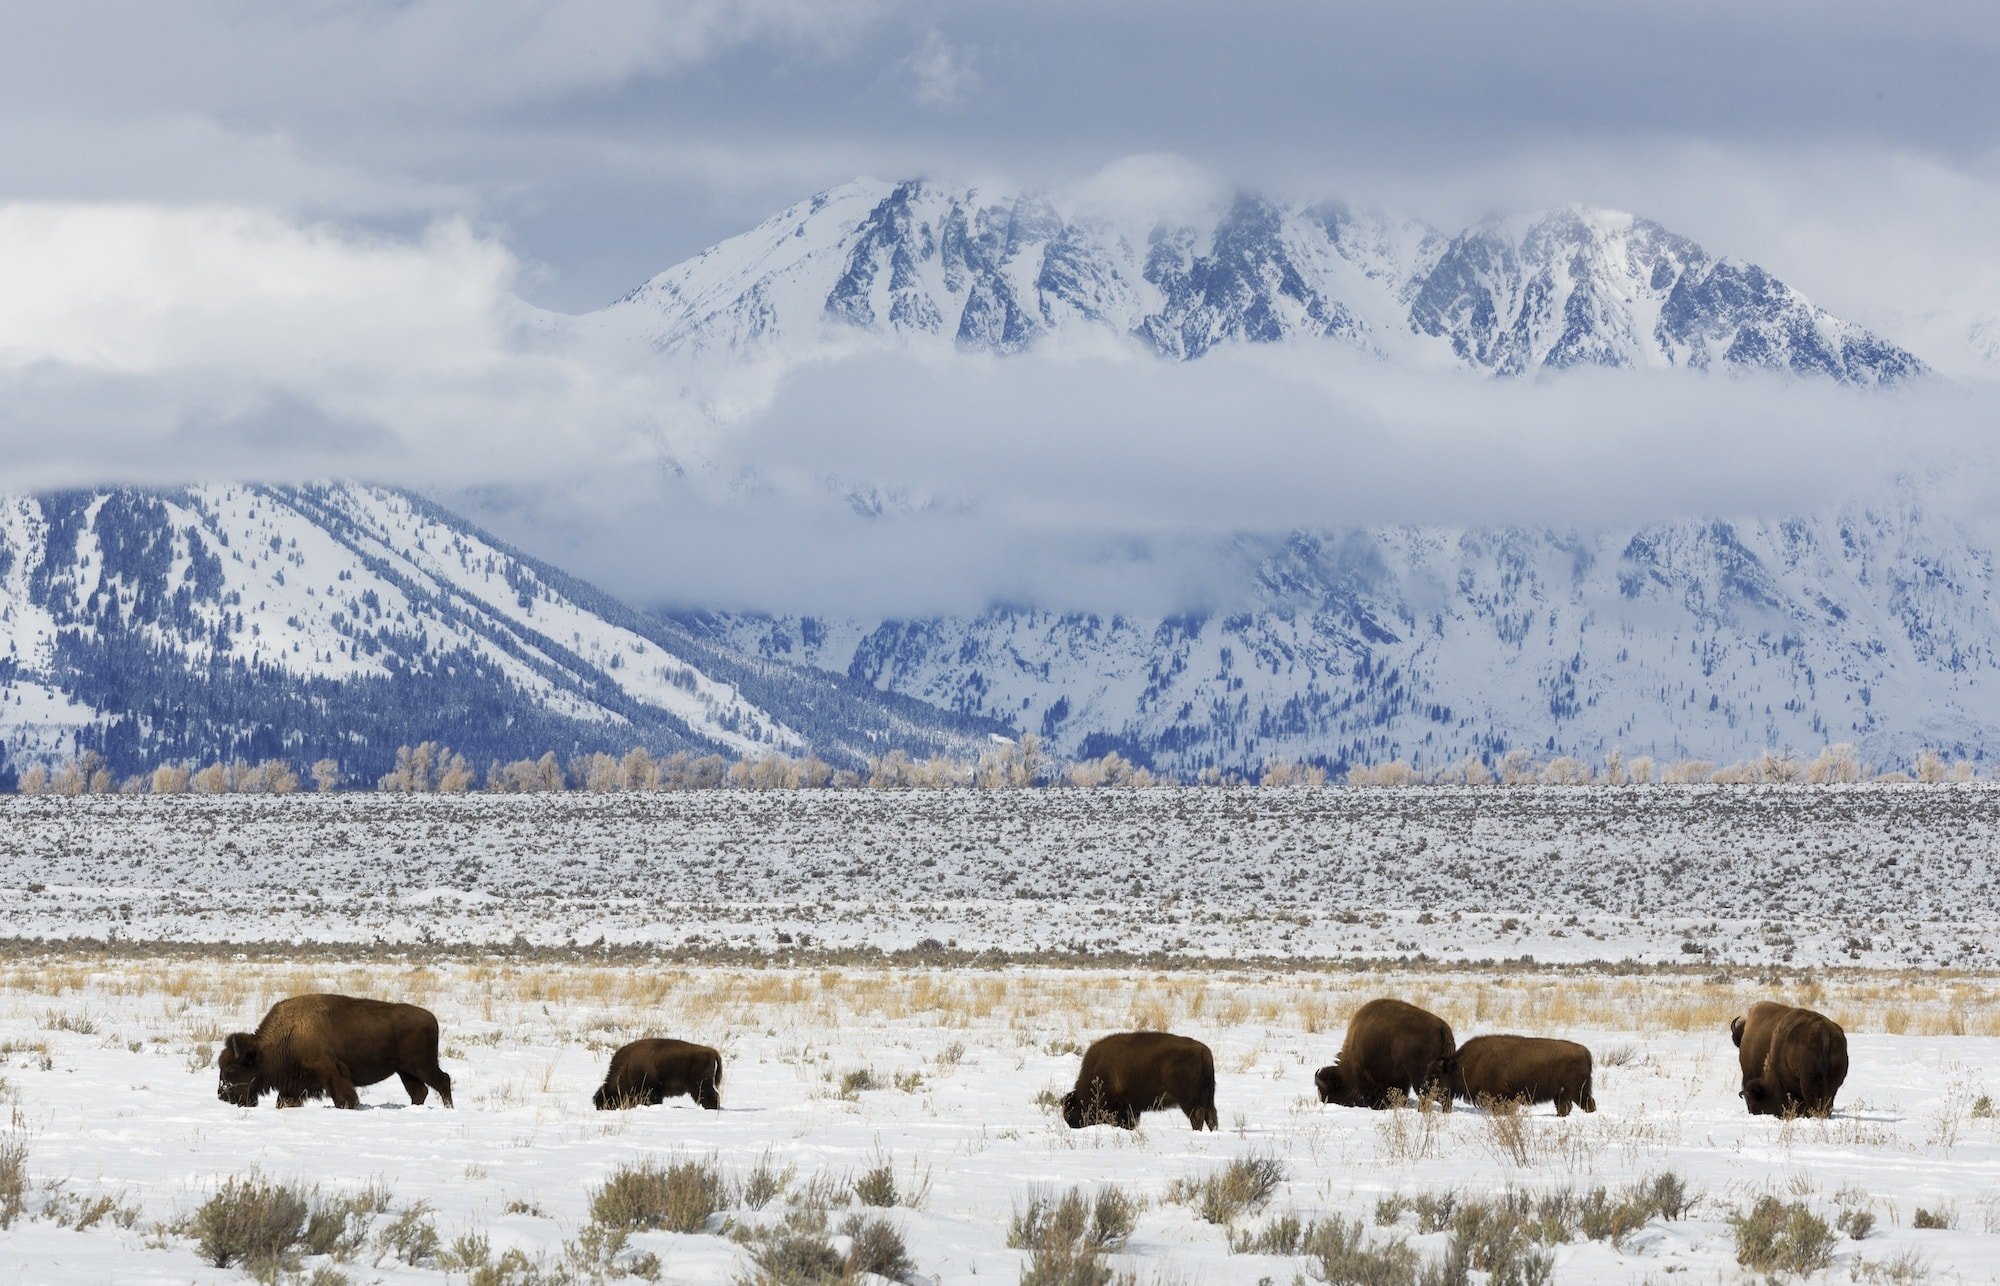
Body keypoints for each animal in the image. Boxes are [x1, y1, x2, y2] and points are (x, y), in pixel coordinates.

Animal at [217, 996, 456, 1104]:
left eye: (231, 1069)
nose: (222, 1095)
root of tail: (431, 1018)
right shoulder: (293, 1085)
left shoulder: (331, 1073)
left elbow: (343, 1097)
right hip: (405, 1071)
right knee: (419, 1091)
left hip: (421, 1066)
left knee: (443, 1080)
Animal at [1064, 1032, 1216, 1136]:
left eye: (1072, 1110)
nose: (1072, 1125)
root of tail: (1203, 1052)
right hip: (1208, 1097)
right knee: (1211, 1115)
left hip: (1189, 1100)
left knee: (1197, 1116)